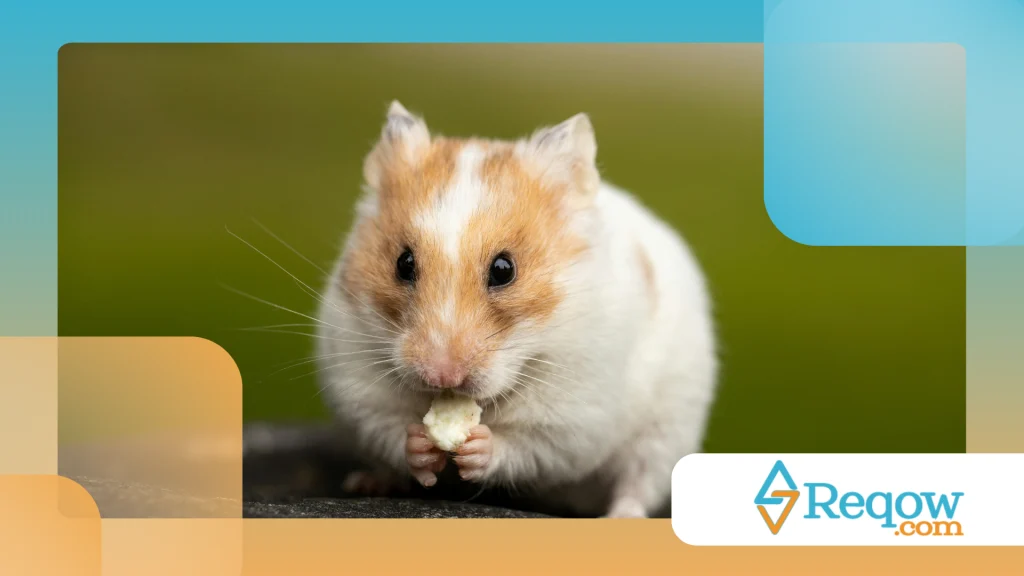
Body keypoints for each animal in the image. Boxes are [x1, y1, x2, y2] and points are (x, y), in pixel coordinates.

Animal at [316, 101, 718, 518]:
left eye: (503, 269)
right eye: (403, 263)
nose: (442, 376)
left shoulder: (572, 418)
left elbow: (525, 447)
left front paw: (477, 446)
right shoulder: (359, 386)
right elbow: (391, 430)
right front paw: (422, 445)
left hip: (667, 432)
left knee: (637, 483)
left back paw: (621, 515)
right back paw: (367, 482)